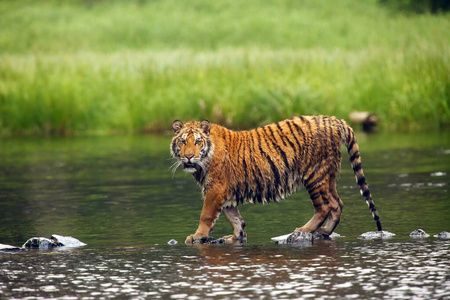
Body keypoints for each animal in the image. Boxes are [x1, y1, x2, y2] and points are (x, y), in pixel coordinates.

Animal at [171, 115, 382, 244]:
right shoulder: (226, 192)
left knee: (325, 206)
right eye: (183, 141)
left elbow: (206, 215)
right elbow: (235, 218)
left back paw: (303, 229)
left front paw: (197, 236)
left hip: (315, 175)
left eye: (197, 142)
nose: (189, 156)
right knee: (337, 204)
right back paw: (323, 232)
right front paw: (237, 237)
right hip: (328, 176)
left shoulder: (216, 189)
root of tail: (335, 120)